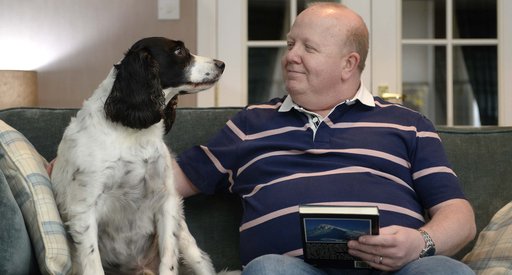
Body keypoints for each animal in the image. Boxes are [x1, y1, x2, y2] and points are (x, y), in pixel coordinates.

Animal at [52, 37, 226, 275]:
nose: (221, 64)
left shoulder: (166, 201)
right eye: (178, 51)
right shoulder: (83, 209)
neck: (133, 133)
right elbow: (93, 264)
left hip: (190, 249)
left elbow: (168, 261)